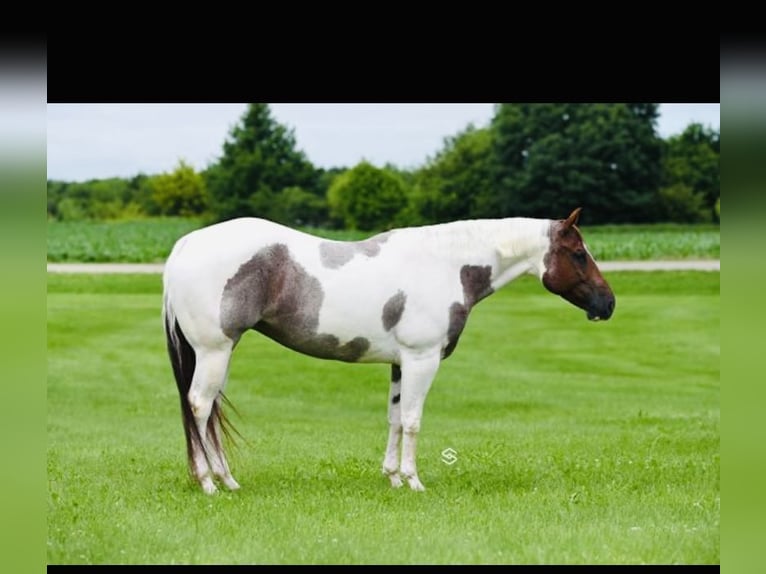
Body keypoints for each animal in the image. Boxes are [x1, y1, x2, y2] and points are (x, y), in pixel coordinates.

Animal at [162, 207, 615, 494]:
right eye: (578, 254)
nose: (607, 304)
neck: (446, 265)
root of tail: (185, 245)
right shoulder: (421, 359)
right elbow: (413, 421)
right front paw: (414, 481)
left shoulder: (400, 365)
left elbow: (395, 419)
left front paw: (393, 477)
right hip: (215, 352)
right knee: (199, 407)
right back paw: (211, 483)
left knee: (205, 413)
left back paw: (223, 479)